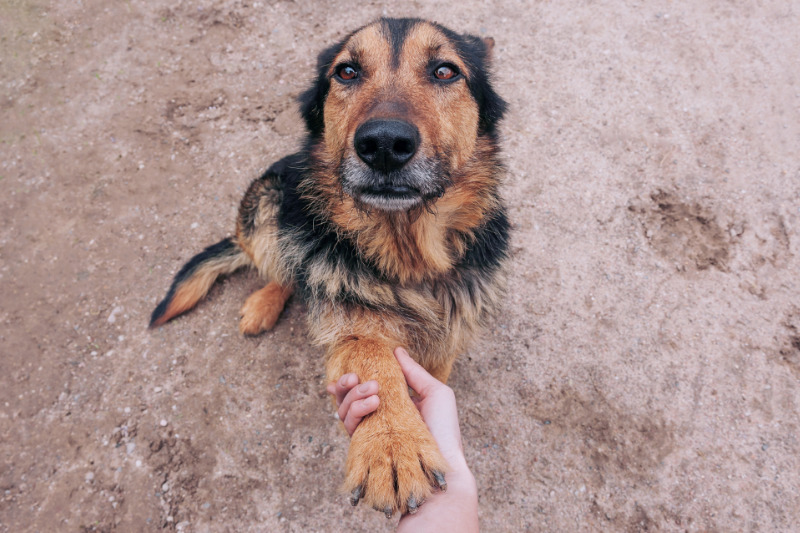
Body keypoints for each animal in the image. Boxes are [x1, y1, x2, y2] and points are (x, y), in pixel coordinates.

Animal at [150, 18, 510, 516]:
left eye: (444, 71)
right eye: (347, 72)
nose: (384, 144)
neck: (406, 256)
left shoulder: (446, 341)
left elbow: (432, 381)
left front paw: (404, 433)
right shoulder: (351, 323)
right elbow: (371, 356)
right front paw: (391, 443)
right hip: (268, 200)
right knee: (285, 267)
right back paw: (263, 304)